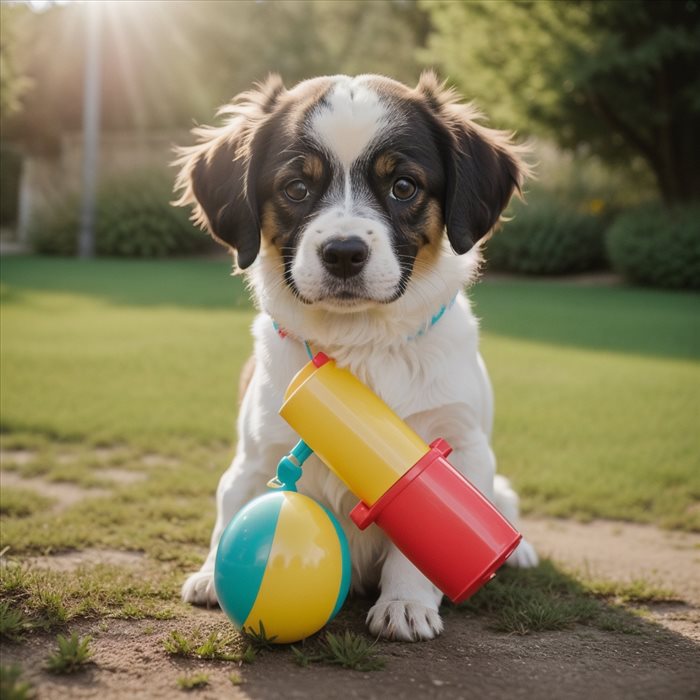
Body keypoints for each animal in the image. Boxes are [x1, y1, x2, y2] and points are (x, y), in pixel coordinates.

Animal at [172, 71, 540, 640]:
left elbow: (421, 541)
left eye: (403, 186)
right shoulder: (254, 454)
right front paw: (213, 574)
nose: (344, 252)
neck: (360, 343)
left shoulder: (458, 447)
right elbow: (232, 509)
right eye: (296, 188)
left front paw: (406, 603)